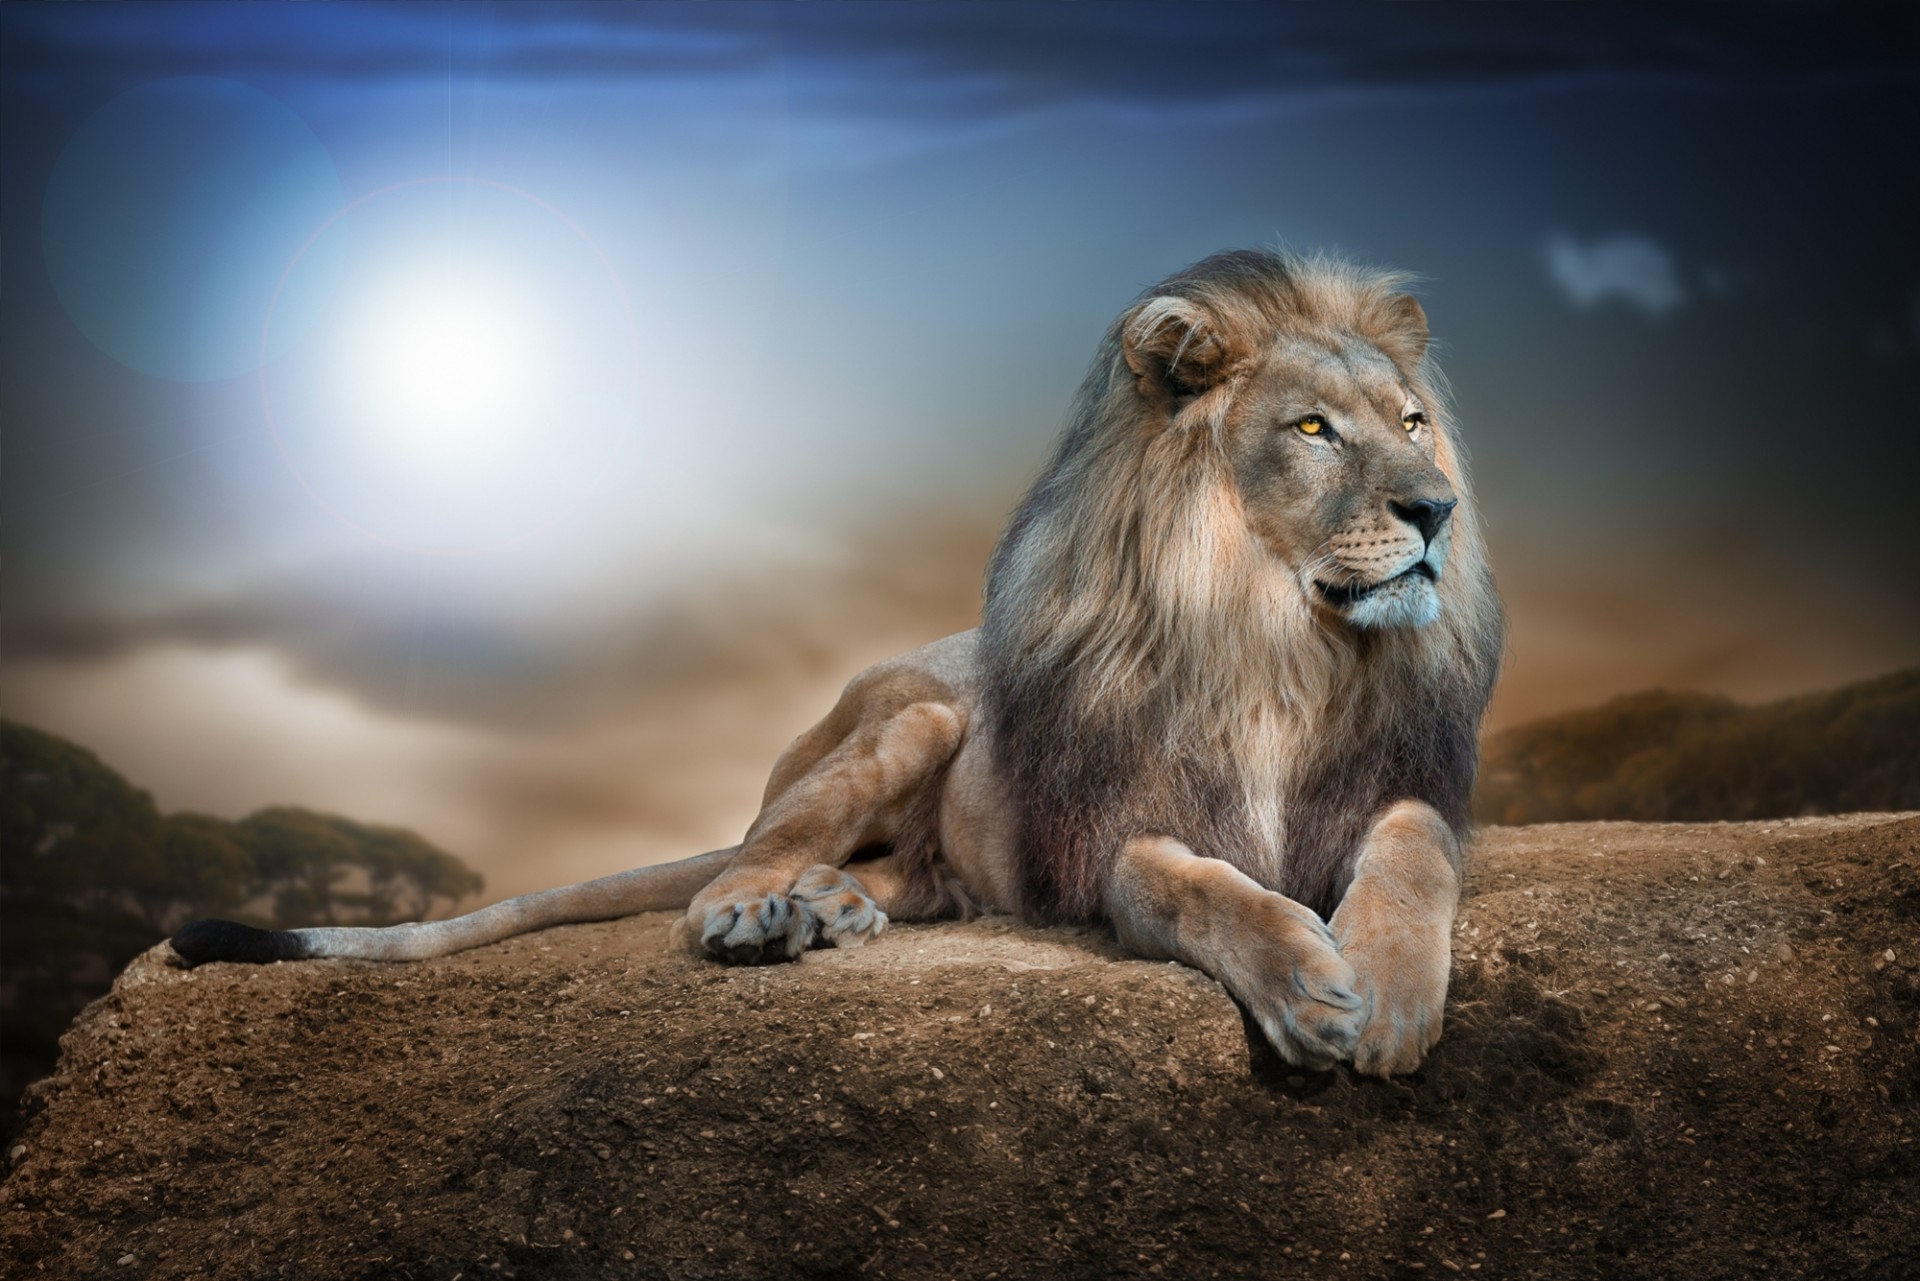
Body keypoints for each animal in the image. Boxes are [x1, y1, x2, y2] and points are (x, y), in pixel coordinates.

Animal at [172, 249, 1504, 1076]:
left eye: (1415, 422)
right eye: (1313, 429)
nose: (1437, 509)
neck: (1278, 643)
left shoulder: (1397, 787)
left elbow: (1413, 853)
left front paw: (1385, 993)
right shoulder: (1114, 838)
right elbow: (1199, 888)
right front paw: (1308, 985)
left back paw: (834, 909)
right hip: (913, 720)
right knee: (736, 864)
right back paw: (764, 913)